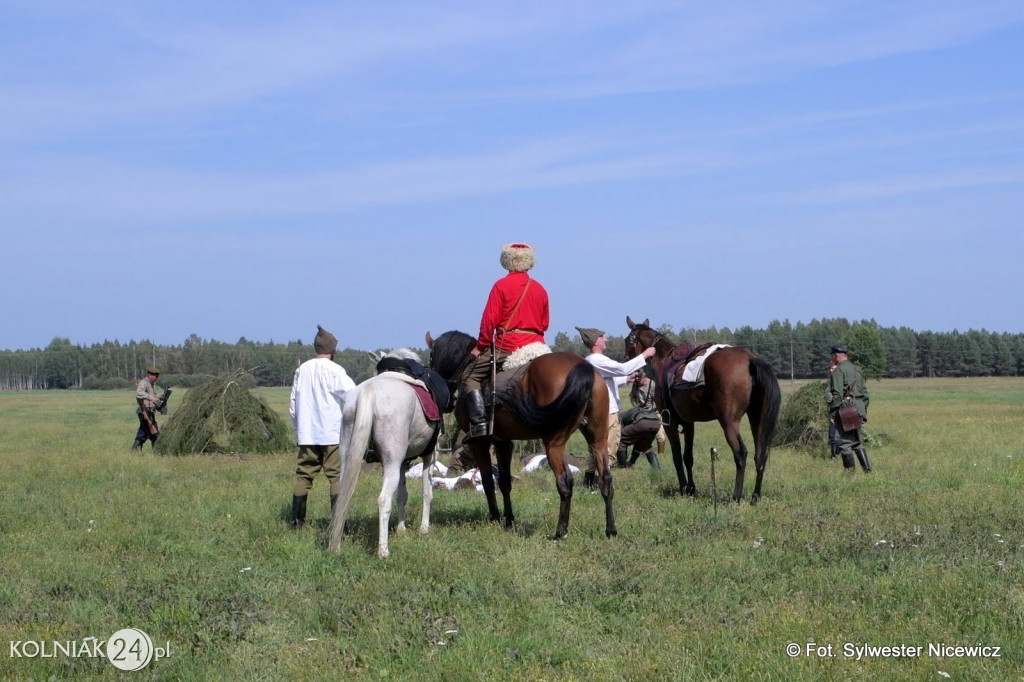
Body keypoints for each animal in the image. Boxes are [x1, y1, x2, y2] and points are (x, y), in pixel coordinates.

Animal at [327, 348, 440, 557]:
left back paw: (335, 545)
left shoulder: (404, 463)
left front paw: (402, 529)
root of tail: (368, 393)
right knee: (384, 500)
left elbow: (402, 495)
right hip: (391, 464)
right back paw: (383, 551)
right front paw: (424, 528)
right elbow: (426, 492)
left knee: (342, 498)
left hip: (348, 459)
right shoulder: (427, 456)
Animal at [425, 327, 614, 540]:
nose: (445, 400)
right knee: (605, 479)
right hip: (597, 439)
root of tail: (583, 366)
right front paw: (508, 520)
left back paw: (560, 532)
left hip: (554, 443)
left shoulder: (479, 442)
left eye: (431, 356)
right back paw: (610, 530)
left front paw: (494, 518)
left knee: (565, 483)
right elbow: (504, 481)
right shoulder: (503, 441)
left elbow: (488, 481)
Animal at [618, 315, 778, 499]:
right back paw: (755, 496)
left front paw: (683, 488)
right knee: (761, 454)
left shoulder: (670, 422)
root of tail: (749, 360)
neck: (663, 361)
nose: (625, 361)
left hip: (729, 422)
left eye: (627, 340)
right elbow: (688, 457)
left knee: (741, 453)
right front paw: (691, 489)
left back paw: (736, 496)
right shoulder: (689, 423)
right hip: (756, 419)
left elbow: (677, 457)